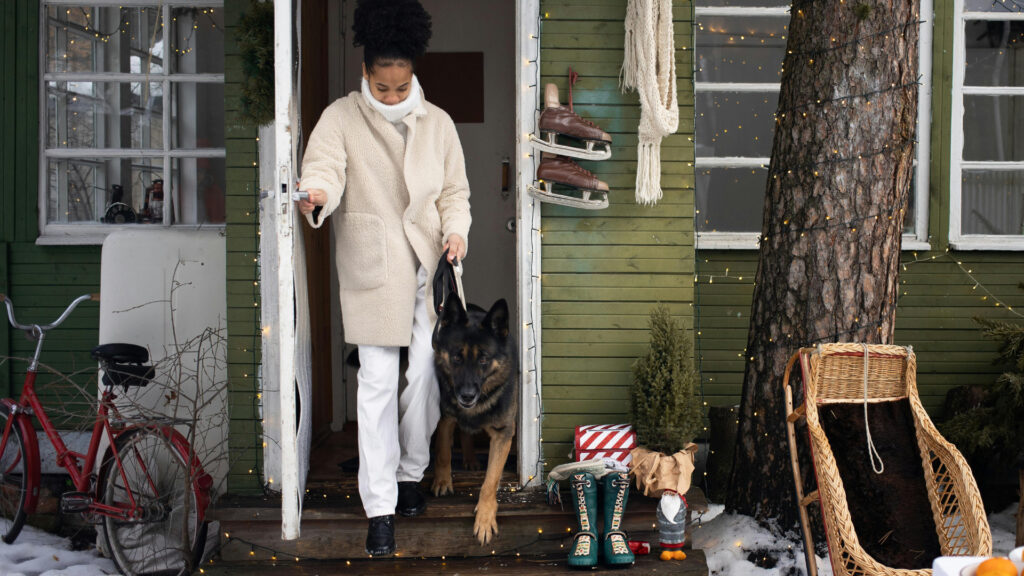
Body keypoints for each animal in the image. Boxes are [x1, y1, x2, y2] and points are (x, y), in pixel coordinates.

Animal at [430, 291, 516, 541]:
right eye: (457, 358)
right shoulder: (445, 418)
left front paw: (485, 517)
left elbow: (491, 480)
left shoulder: (503, 434)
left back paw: (470, 460)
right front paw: (442, 480)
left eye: (484, 359)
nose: (467, 396)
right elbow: (443, 452)